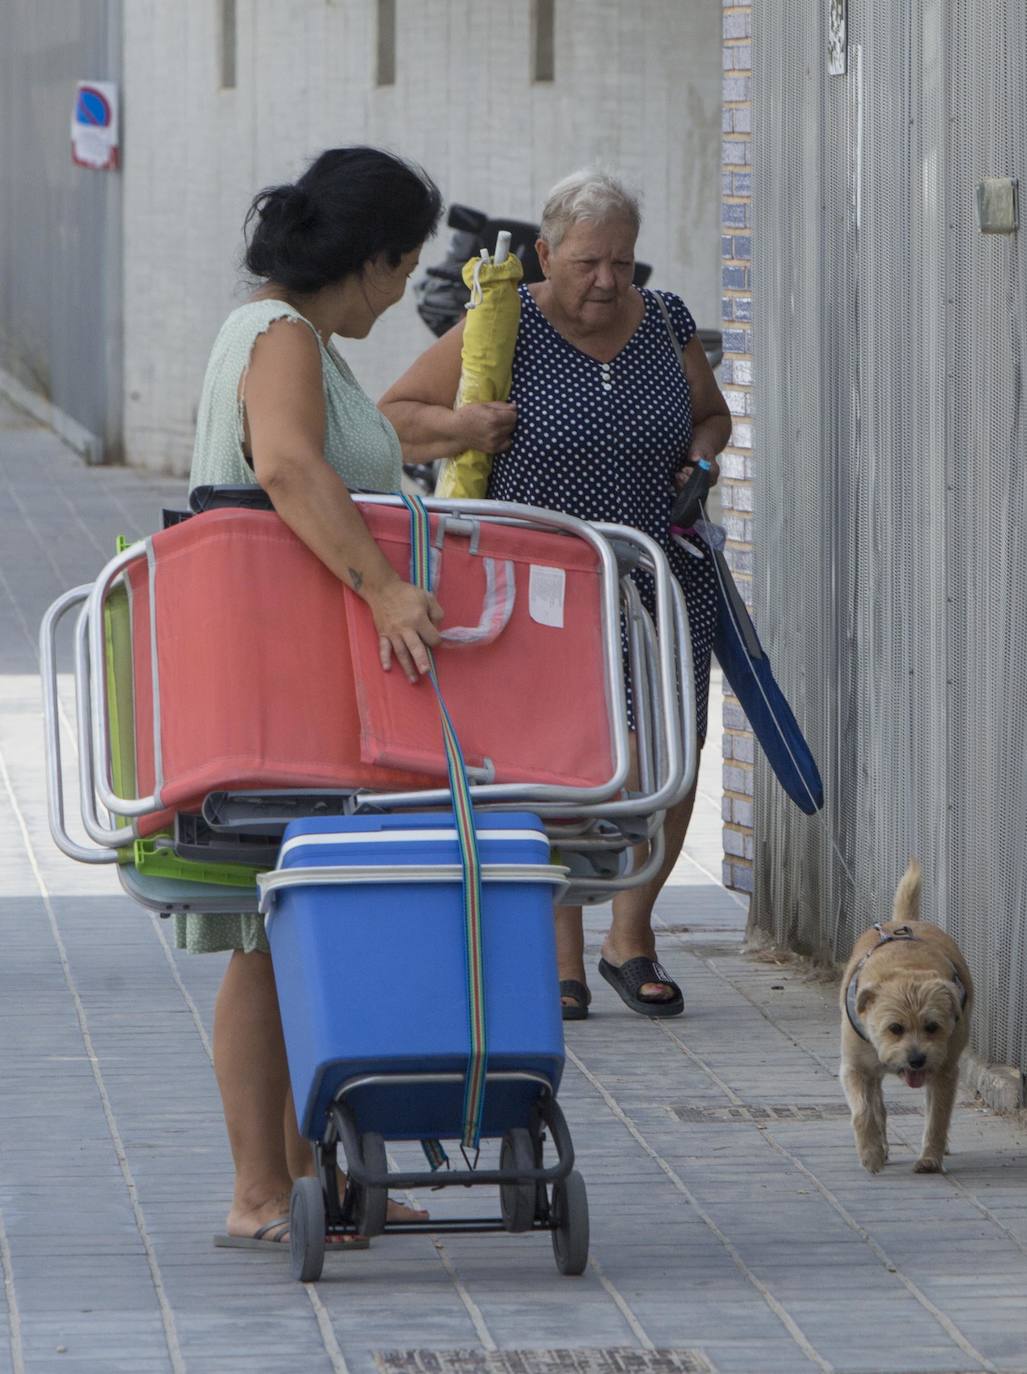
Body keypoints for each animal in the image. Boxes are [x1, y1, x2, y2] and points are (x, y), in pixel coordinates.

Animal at [841, 857, 978, 1170]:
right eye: (895, 1028)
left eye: (933, 1026)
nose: (917, 1060)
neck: (906, 969)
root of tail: (907, 921)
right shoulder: (855, 1068)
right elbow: (863, 1110)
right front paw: (871, 1153)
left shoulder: (944, 1070)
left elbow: (937, 1116)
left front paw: (929, 1159)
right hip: (872, 1071)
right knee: (877, 1103)